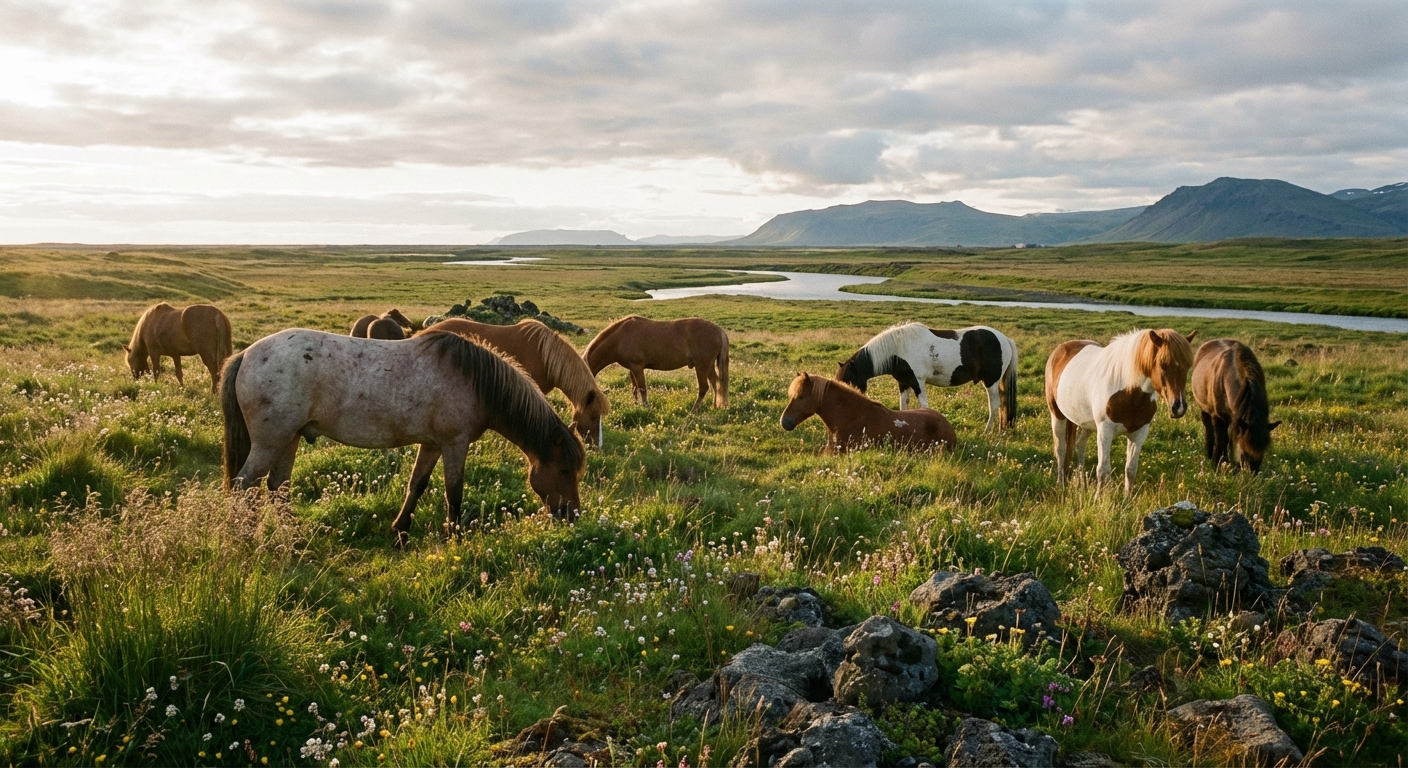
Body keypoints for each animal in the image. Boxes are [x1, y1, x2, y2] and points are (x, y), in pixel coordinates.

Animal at [221, 329, 586, 544]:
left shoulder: (432, 444)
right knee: (243, 485)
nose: (573, 516)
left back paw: (294, 538)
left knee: (277, 488)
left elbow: (417, 484)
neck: (475, 381)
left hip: (289, 438)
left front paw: (401, 528)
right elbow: (454, 493)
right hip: (271, 441)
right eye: (564, 470)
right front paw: (455, 537)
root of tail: (245, 354)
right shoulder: (454, 444)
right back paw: (242, 537)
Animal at [584, 316, 729, 410]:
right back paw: (715, 406)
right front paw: (636, 405)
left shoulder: (637, 367)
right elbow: (634, 388)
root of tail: (719, 330)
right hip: (708, 366)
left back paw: (694, 410)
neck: (620, 338)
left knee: (704, 387)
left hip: (701, 366)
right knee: (716, 383)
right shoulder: (632, 369)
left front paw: (646, 407)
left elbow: (642, 388)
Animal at [836, 323, 1019, 432]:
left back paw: (987, 432)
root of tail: (1005, 339)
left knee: (994, 406)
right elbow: (903, 407)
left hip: (991, 382)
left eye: (848, 382)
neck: (898, 349)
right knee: (1002, 406)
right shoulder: (904, 383)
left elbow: (924, 406)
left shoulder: (918, 382)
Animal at [1045, 328, 1196, 495]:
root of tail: (1060, 349)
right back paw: (1060, 484)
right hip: (1057, 415)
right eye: (1163, 364)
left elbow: (1130, 470)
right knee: (1061, 449)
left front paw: (1126, 499)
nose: (1179, 407)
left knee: (1079, 445)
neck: (1129, 392)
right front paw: (1098, 498)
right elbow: (1103, 470)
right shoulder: (1105, 432)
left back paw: (1081, 482)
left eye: (1188, 366)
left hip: (1087, 423)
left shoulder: (1139, 434)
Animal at [1192, 339, 1279, 473]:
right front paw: (1219, 464)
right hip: (1205, 409)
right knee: (1209, 428)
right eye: (1243, 452)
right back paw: (1210, 454)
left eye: (1263, 452)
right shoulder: (1219, 417)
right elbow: (1221, 440)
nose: (1252, 474)